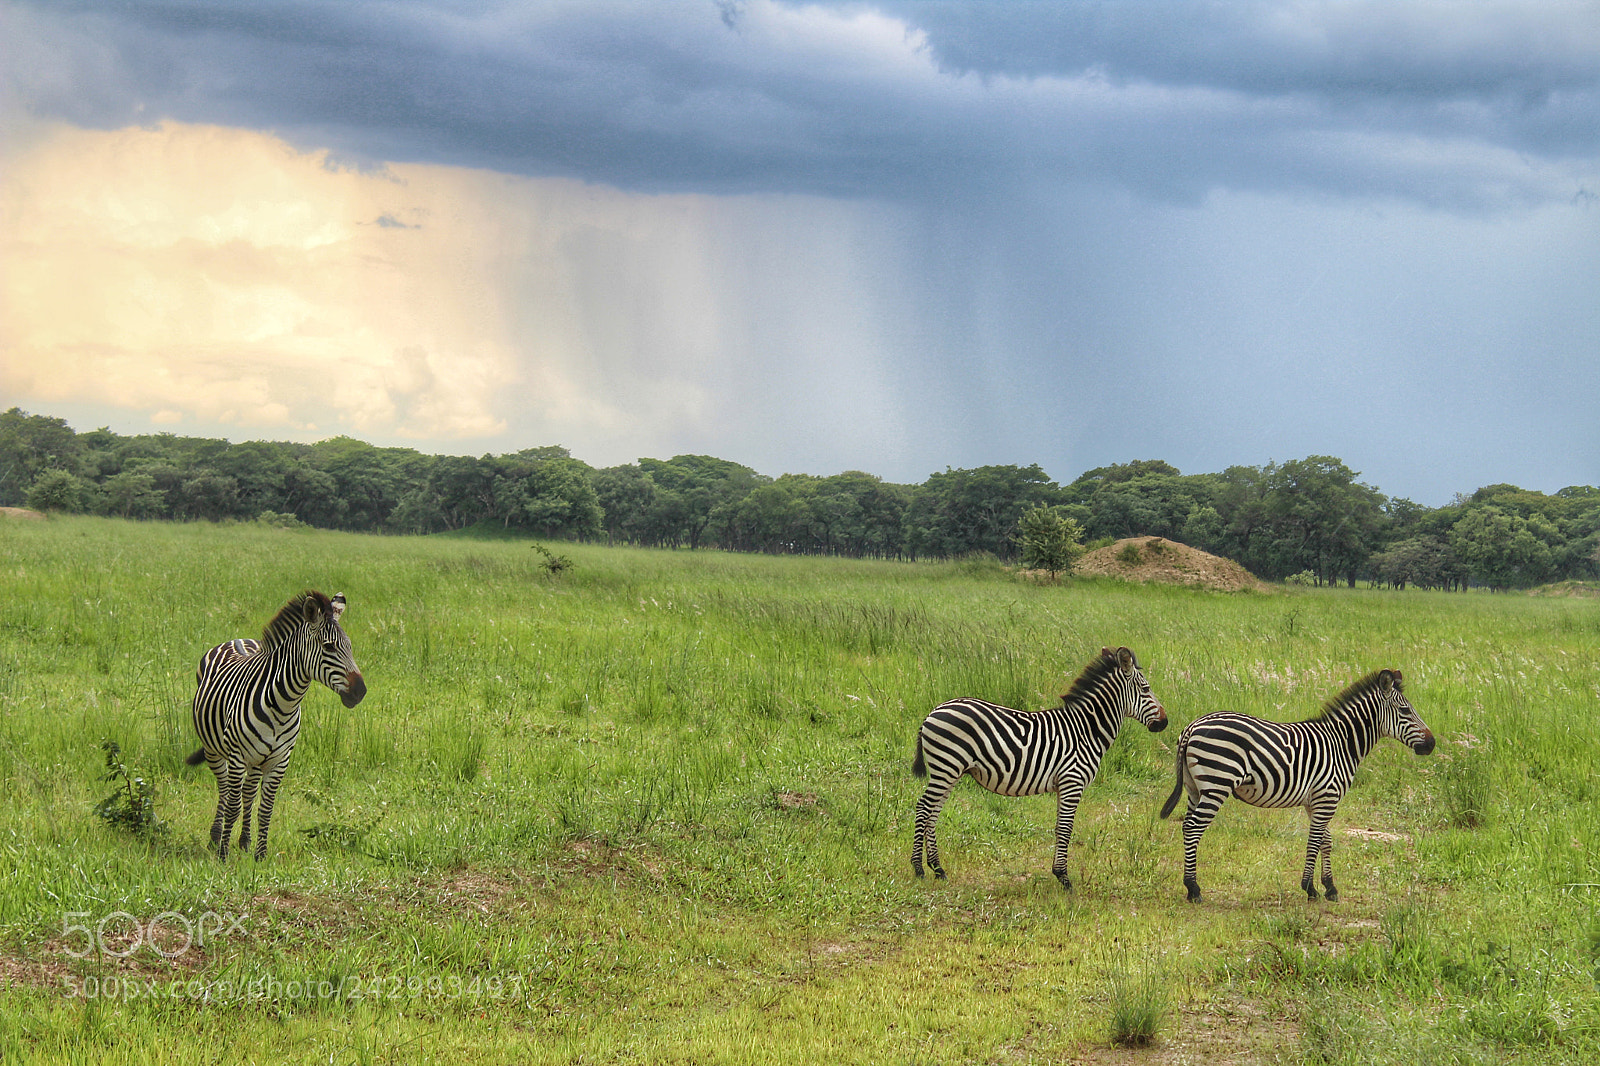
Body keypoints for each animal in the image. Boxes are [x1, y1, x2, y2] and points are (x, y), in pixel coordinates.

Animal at [184, 590, 367, 860]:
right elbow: (233, 805)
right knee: (225, 789)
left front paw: (260, 855)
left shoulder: (279, 760)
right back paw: (216, 837)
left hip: (256, 759)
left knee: (248, 793)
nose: (360, 692)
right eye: (329, 647)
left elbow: (266, 808)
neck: (283, 705)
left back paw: (244, 841)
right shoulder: (237, 756)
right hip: (214, 750)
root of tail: (237, 639)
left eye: (350, 647)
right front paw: (223, 855)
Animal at [911, 646, 1168, 890]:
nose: (1165, 723)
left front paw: (1058, 873)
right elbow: (1066, 828)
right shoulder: (1072, 782)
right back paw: (918, 869)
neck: (1086, 730)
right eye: (1146, 689)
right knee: (923, 808)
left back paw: (938, 869)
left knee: (933, 813)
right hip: (946, 767)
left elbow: (1059, 828)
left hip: (949, 771)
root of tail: (933, 712)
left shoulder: (1063, 785)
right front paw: (1064, 878)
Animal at [1159, 668, 1433, 903]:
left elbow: (1326, 840)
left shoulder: (1316, 801)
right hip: (1217, 784)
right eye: (1405, 710)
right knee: (1193, 828)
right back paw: (1194, 889)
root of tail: (1192, 726)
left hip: (1195, 788)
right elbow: (1314, 840)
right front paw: (1310, 888)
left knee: (1186, 825)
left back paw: (1190, 886)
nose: (1431, 744)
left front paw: (1330, 887)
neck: (1342, 744)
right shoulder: (1327, 797)